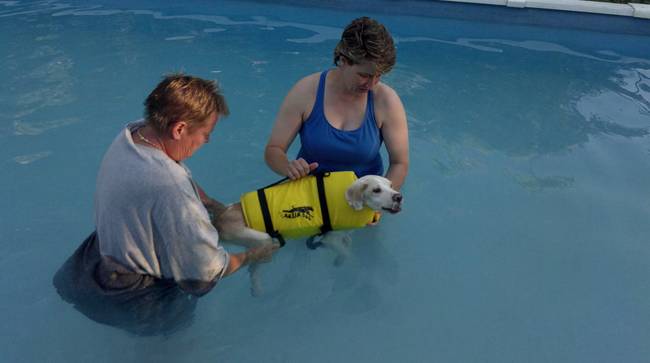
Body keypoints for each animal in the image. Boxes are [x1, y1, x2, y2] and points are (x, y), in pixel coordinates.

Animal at [210, 174, 400, 296]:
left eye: (391, 185)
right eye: (376, 190)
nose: (399, 197)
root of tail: (222, 213)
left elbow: (347, 243)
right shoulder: (329, 238)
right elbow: (346, 253)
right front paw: (341, 262)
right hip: (266, 241)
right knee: (254, 266)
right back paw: (257, 288)